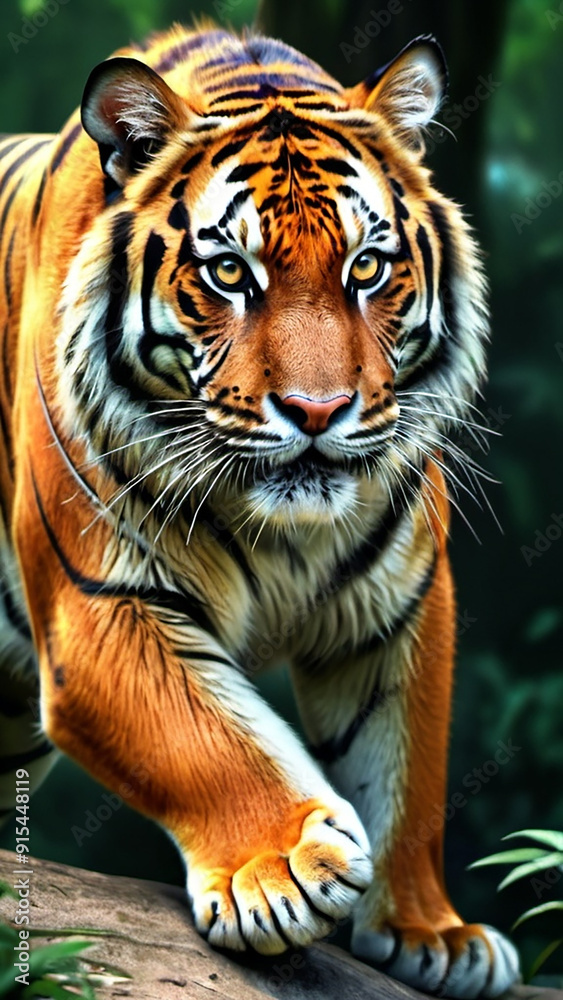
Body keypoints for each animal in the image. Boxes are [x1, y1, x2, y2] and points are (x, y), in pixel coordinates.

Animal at [0, 23, 521, 997]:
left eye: (366, 267)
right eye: (228, 273)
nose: (318, 412)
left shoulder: (401, 606)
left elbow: (406, 771)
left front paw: (433, 934)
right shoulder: (103, 602)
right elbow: (204, 741)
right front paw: (282, 868)